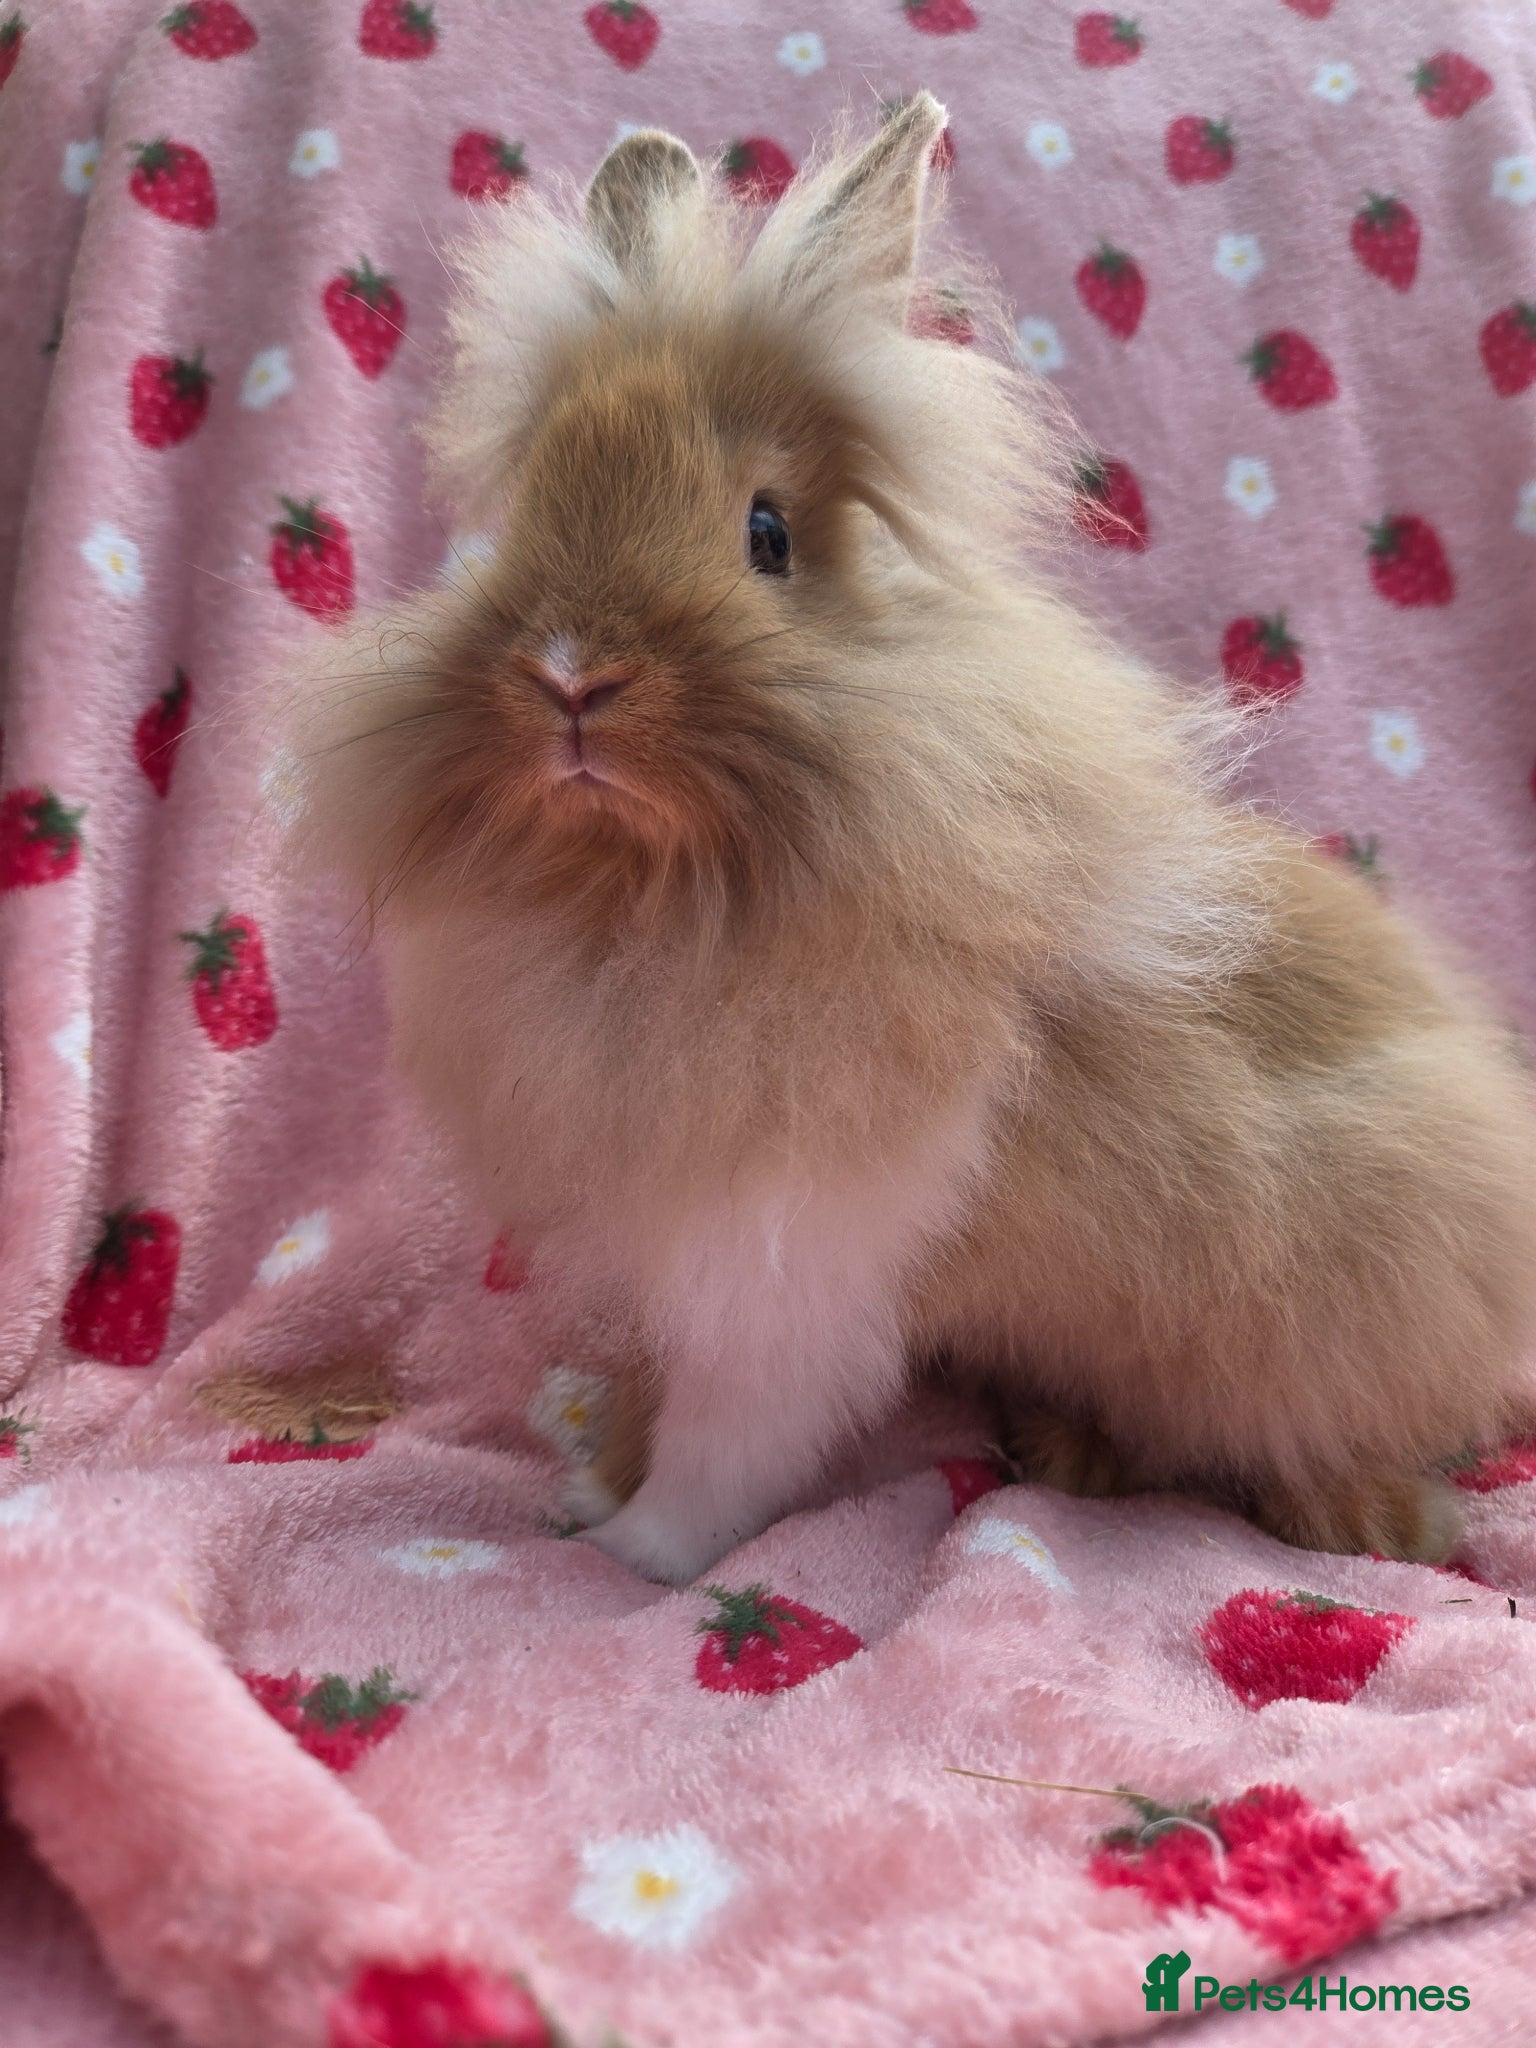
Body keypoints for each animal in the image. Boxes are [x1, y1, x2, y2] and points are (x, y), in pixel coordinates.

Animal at [287, 95, 1536, 1587]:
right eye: (534, 501)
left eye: (768, 534)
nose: (571, 673)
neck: (662, 897)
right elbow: (659, 1392)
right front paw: (592, 1484)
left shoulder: (789, 1270)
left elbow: (727, 1441)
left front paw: (636, 1552)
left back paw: (1351, 1513)